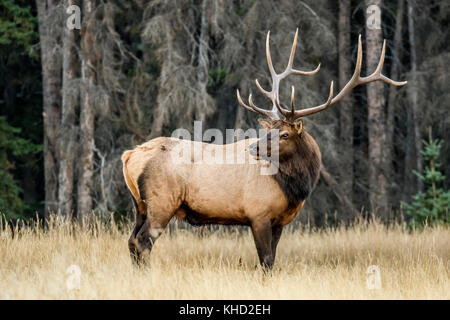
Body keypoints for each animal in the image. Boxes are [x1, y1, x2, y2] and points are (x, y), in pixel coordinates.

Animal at [121, 29, 406, 270]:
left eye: (284, 133)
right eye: (271, 131)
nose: (254, 147)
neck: (294, 188)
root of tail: (130, 155)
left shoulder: (279, 221)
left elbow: (272, 259)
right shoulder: (258, 214)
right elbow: (266, 261)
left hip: (140, 206)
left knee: (132, 241)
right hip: (162, 202)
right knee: (143, 242)